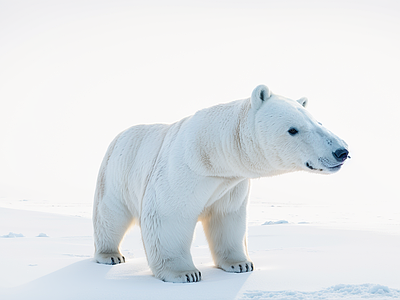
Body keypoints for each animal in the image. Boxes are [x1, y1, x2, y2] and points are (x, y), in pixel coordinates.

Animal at [92, 84, 348, 282]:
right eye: (293, 129)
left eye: (319, 122)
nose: (341, 151)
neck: (210, 154)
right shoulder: (181, 172)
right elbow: (169, 216)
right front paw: (185, 273)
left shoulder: (230, 184)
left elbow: (228, 218)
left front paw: (241, 264)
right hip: (116, 174)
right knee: (110, 215)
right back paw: (110, 255)